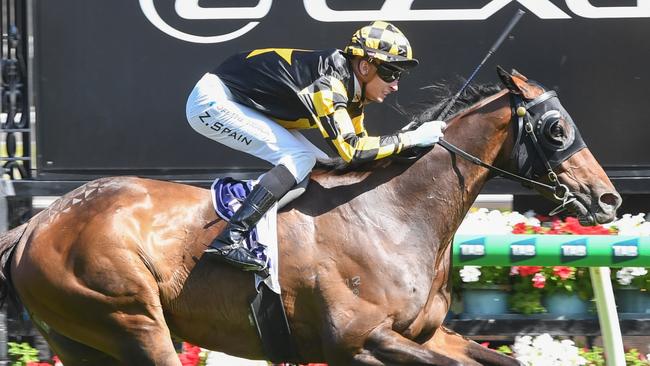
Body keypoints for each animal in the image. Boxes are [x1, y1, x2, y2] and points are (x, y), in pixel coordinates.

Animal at [0, 68, 616, 364]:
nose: (608, 199)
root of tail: (36, 223)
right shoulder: (359, 341)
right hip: (130, 318)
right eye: (556, 128)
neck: (395, 214)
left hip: (84, 341)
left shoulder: (425, 335)